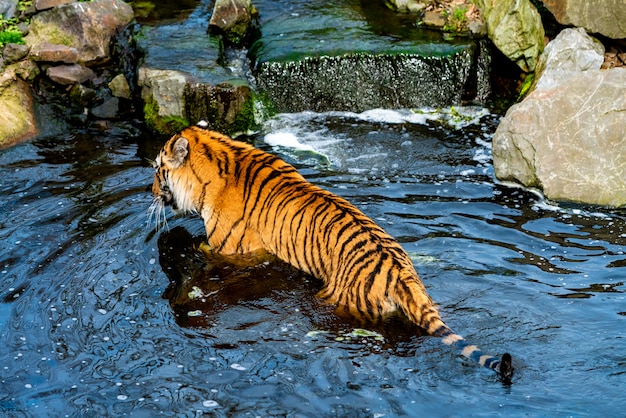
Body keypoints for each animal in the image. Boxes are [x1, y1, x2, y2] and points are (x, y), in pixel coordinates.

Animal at [150, 121, 512, 382]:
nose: (151, 191)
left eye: (156, 169)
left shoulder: (232, 251)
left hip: (337, 301)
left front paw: (173, 242)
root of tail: (401, 275)